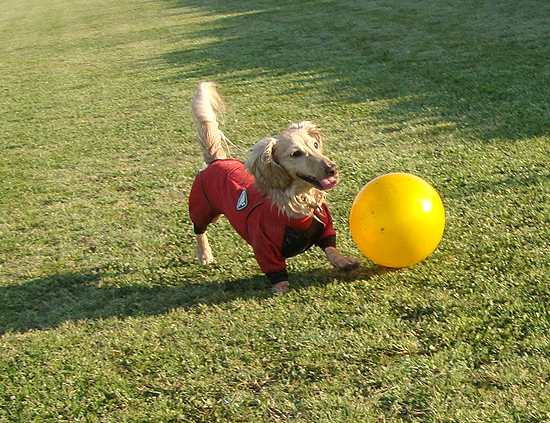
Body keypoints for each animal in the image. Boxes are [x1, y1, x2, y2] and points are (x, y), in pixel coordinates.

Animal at [190, 84, 362, 294]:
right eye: (296, 154)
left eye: (315, 145)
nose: (333, 168)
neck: (298, 203)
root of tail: (217, 160)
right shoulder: (263, 246)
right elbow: (275, 269)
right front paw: (281, 287)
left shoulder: (325, 228)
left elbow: (330, 247)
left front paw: (343, 261)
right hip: (202, 207)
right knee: (200, 230)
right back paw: (204, 254)